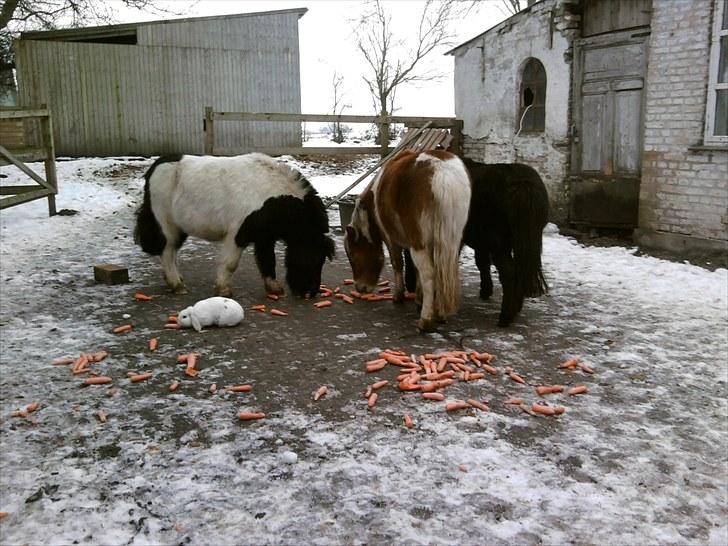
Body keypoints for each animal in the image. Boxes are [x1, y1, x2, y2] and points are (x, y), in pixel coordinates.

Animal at [134, 153, 336, 298]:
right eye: (313, 258)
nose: (310, 292)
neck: (272, 196)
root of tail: (155, 167)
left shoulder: (265, 236)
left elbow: (267, 260)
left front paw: (274, 288)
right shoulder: (238, 233)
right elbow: (231, 263)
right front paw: (223, 290)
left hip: (180, 228)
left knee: (172, 251)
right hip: (166, 224)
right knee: (167, 251)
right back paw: (177, 285)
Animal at [342, 148, 470, 332]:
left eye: (352, 255)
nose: (360, 288)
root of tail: (442, 172)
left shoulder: (391, 240)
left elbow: (398, 264)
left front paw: (399, 296)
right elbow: (415, 271)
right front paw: (419, 299)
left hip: (420, 244)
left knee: (429, 273)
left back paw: (426, 320)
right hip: (451, 242)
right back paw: (440, 313)